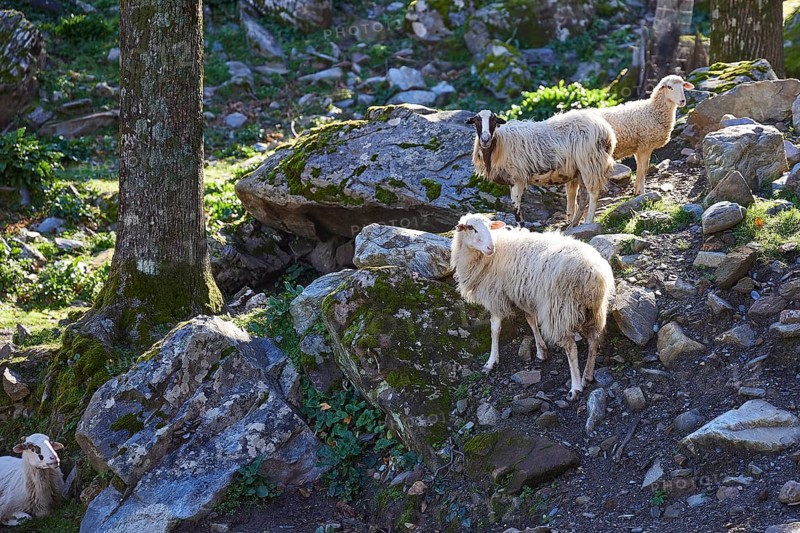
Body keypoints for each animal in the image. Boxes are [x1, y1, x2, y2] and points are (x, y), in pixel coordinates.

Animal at [450, 213, 614, 400]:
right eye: (471, 228)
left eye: (490, 226)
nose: (490, 248)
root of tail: (593, 272)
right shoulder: (525, 295)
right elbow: (531, 320)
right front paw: (541, 350)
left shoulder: (495, 296)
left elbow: (495, 329)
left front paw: (491, 361)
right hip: (595, 309)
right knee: (594, 339)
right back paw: (587, 375)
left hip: (558, 309)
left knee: (571, 347)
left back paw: (576, 387)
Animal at [467, 108, 616, 227]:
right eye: (476, 121)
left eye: (493, 120)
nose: (485, 139)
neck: (500, 143)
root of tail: (606, 130)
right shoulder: (512, 179)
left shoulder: (518, 178)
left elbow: (516, 207)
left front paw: (521, 227)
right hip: (581, 168)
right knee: (584, 196)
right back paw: (573, 224)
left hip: (590, 162)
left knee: (593, 193)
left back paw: (588, 222)